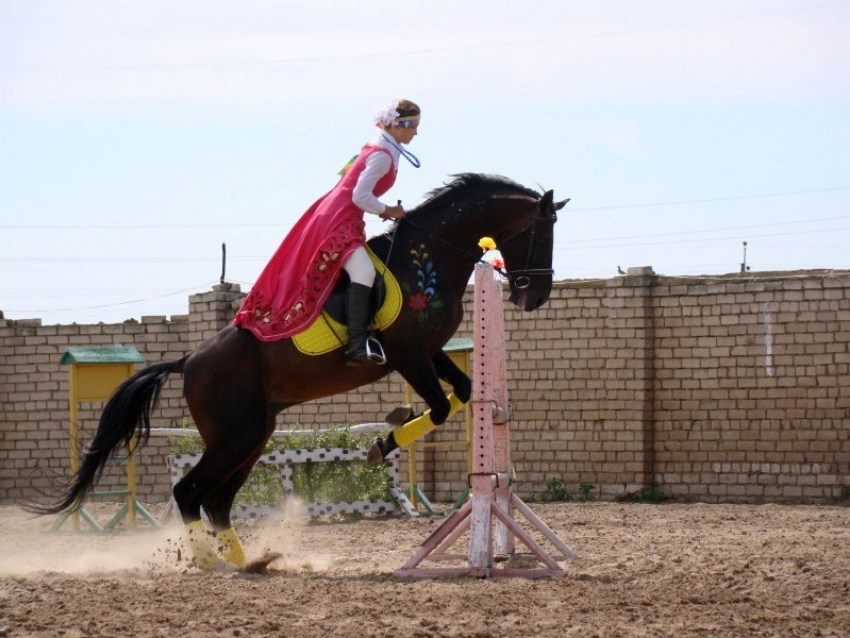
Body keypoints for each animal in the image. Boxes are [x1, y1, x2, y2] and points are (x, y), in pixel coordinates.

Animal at [38, 172, 568, 568]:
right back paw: (211, 561)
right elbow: (438, 406)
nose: (536, 296)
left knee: (217, 500)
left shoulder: (428, 350)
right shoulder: (409, 355)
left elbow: (462, 391)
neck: (431, 256)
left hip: (252, 437)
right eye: (539, 234)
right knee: (190, 491)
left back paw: (245, 560)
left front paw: (389, 432)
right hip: (235, 436)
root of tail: (190, 360)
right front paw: (380, 445)